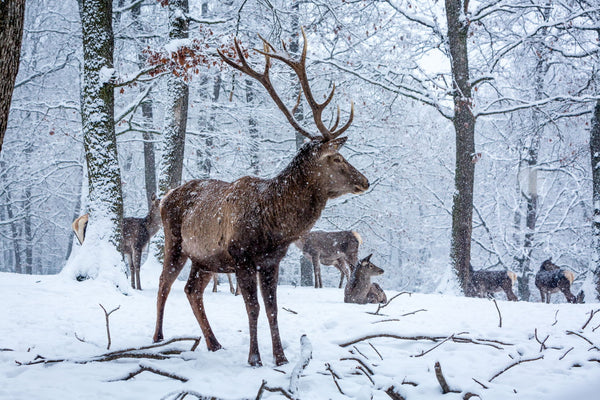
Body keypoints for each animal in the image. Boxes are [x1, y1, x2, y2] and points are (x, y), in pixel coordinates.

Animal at [154, 27, 370, 366]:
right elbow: (253, 308)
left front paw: (280, 358)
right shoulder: (241, 256)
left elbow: (272, 309)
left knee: (192, 290)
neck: (274, 225)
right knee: (163, 284)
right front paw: (255, 358)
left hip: (205, 259)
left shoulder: (271, 262)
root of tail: (164, 196)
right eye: (336, 158)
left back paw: (214, 343)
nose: (365, 181)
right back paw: (158, 338)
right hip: (174, 242)